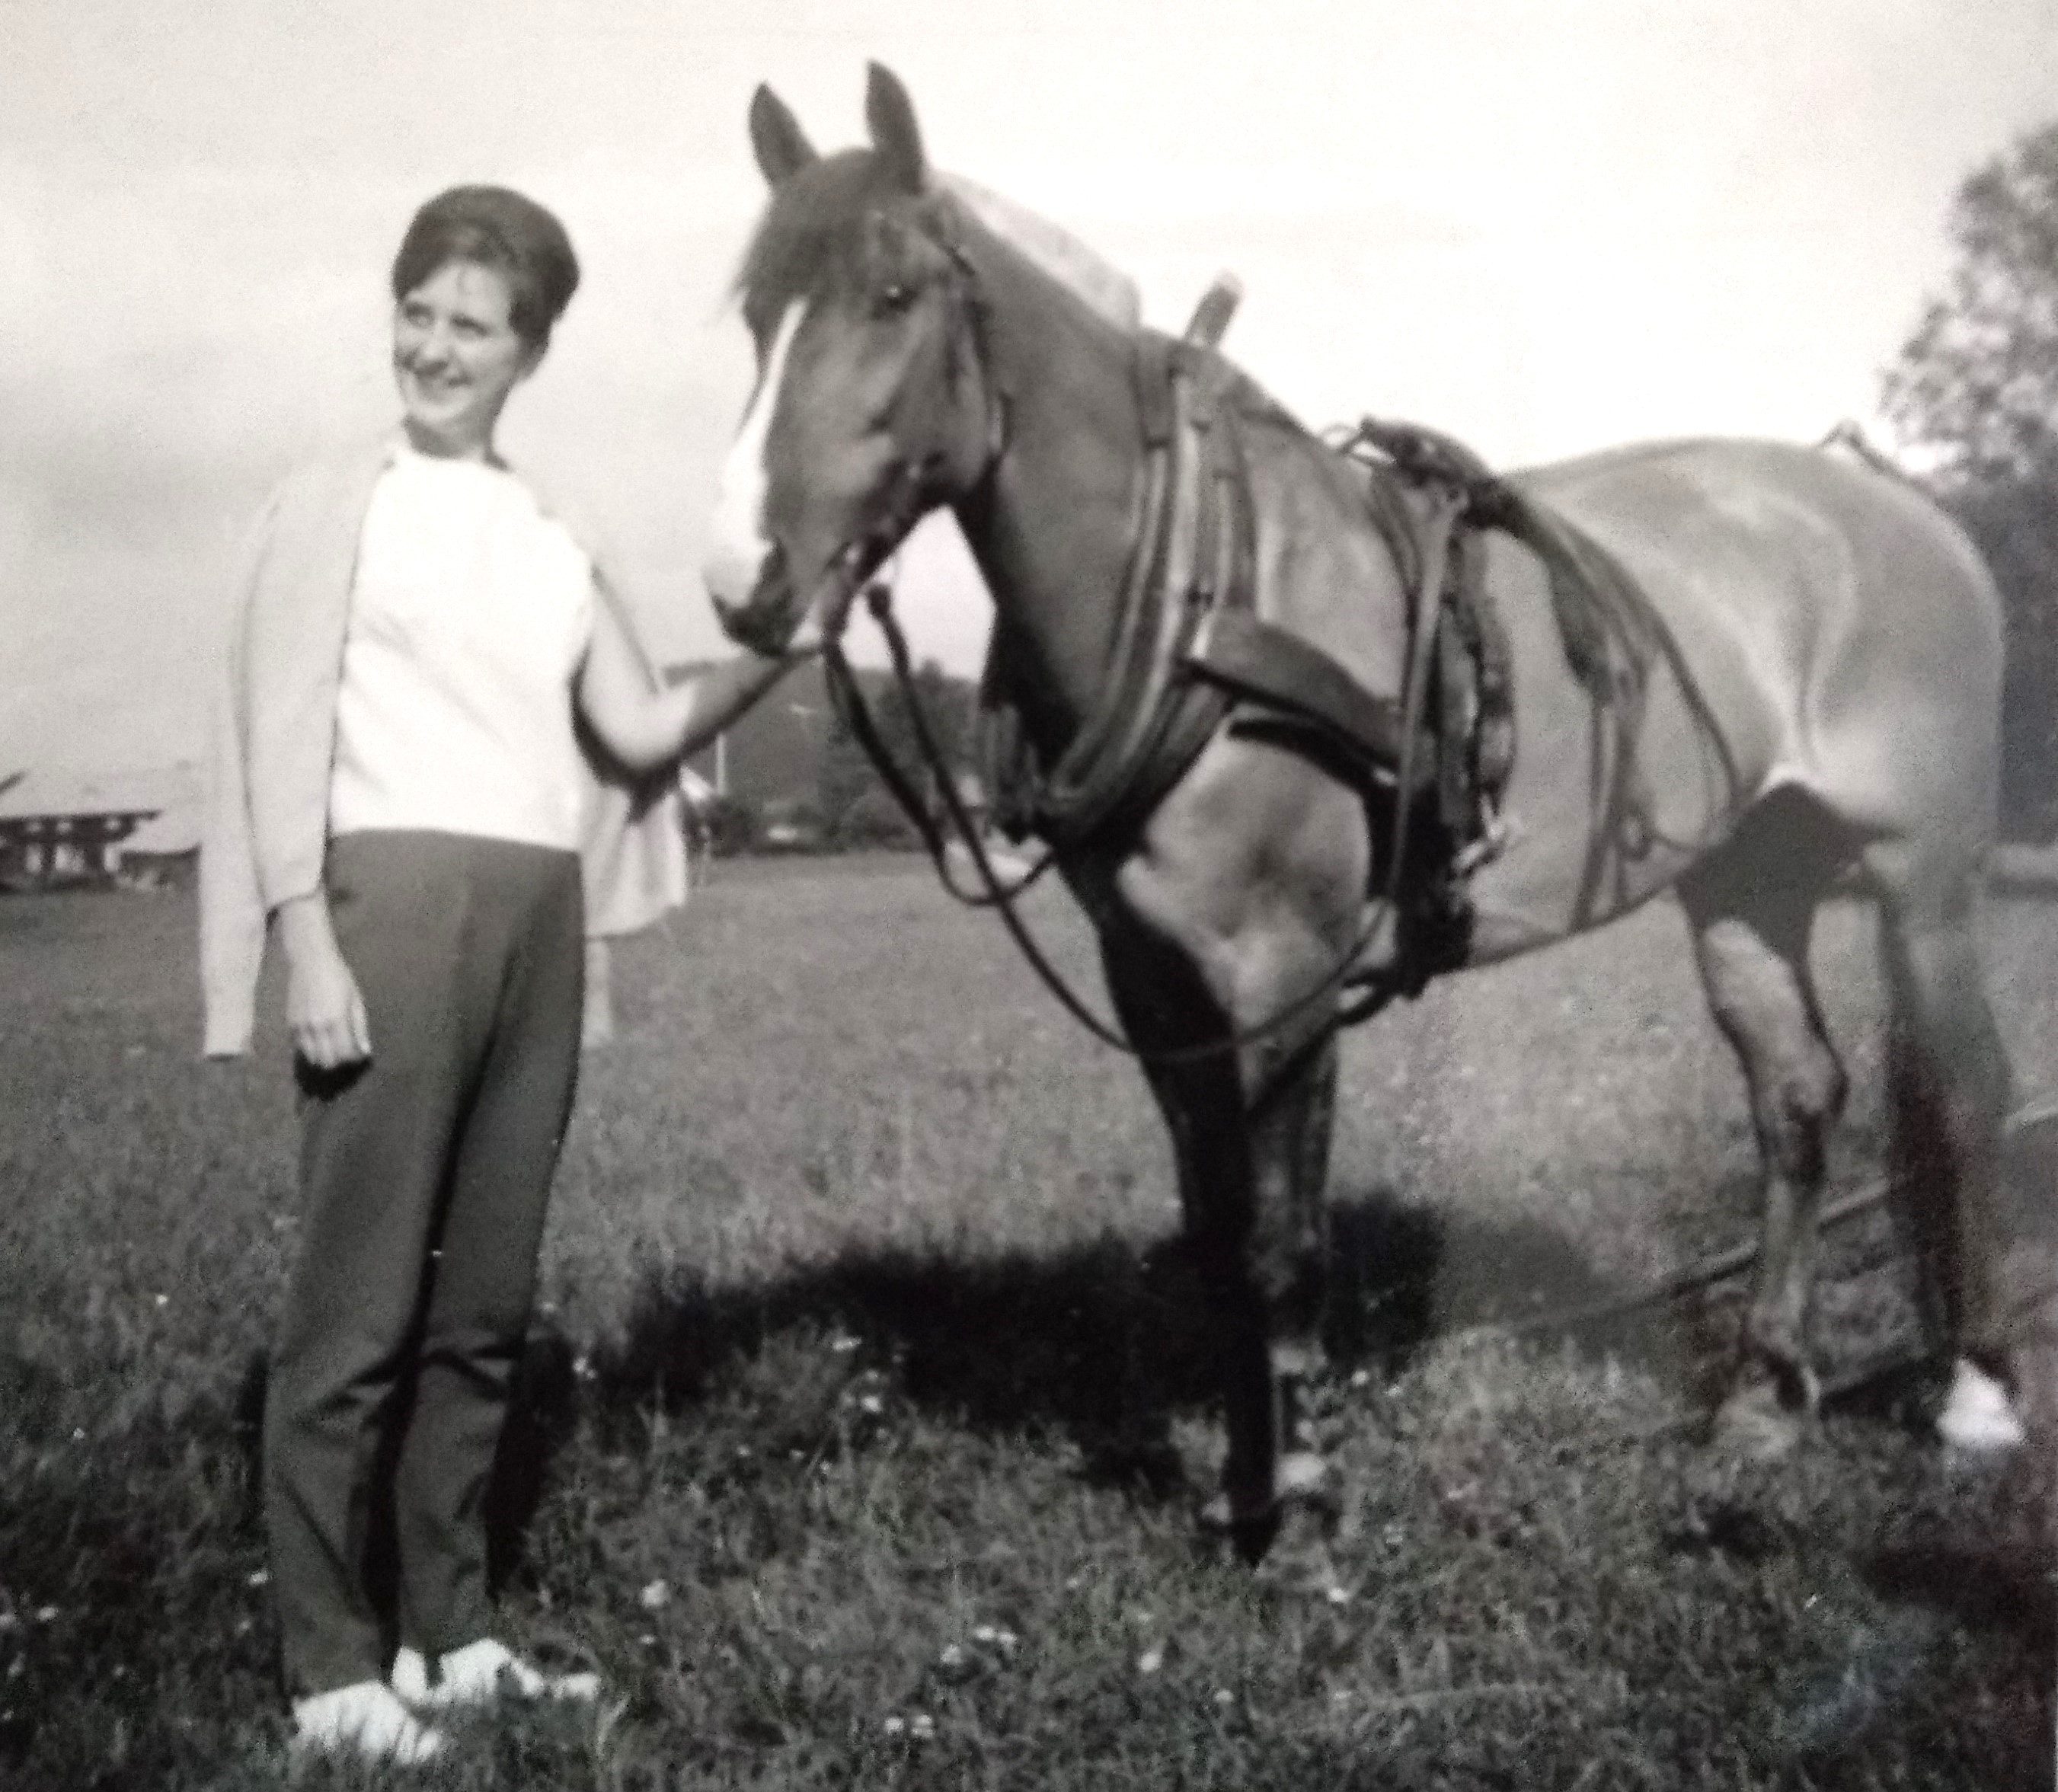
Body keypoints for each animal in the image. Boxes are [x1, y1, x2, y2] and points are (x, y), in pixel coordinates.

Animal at [704, 62, 2041, 1564]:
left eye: (891, 296)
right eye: (755, 315)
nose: (742, 578)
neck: (1199, 584)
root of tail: (1895, 505)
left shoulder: (1279, 966)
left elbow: (1282, 1241)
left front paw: (1299, 1516)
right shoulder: (1153, 975)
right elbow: (1216, 1229)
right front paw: (1245, 1488)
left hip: (1924, 877)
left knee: (1970, 1093)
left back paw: (1978, 1397)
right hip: (1749, 876)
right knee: (1796, 1098)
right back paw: (1760, 1400)